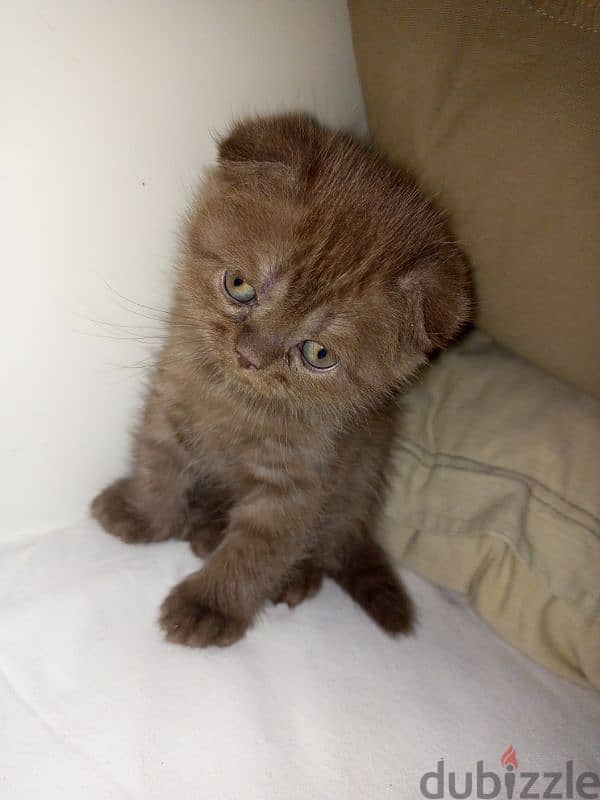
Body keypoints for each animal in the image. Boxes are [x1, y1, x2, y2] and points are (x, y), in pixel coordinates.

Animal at [90, 112, 474, 648]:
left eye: (318, 353)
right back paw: (204, 526)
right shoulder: (171, 396)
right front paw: (145, 515)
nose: (249, 356)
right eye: (239, 285)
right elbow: (158, 461)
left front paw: (210, 604)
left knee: (327, 544)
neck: (233, 400)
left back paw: (294, 574)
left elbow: (260, 547)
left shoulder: (301, 473)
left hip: (356, 479)